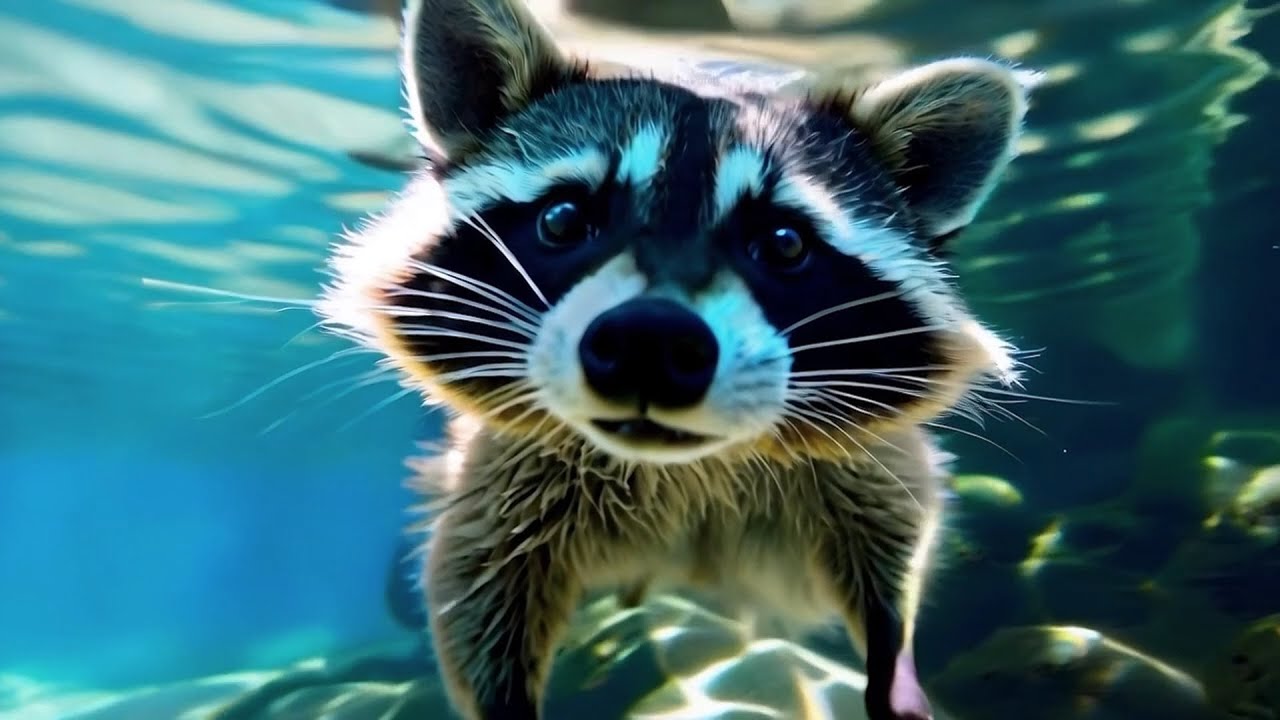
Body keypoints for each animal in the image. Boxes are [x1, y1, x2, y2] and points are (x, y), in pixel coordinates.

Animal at [318, 0, 1033, 718]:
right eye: (562, 219)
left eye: (784, 242)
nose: (649, 342)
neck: (681, 469)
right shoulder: (504, 477)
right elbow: (472, 584)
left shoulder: (863, 468)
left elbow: (900, 542)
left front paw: (894, 661)